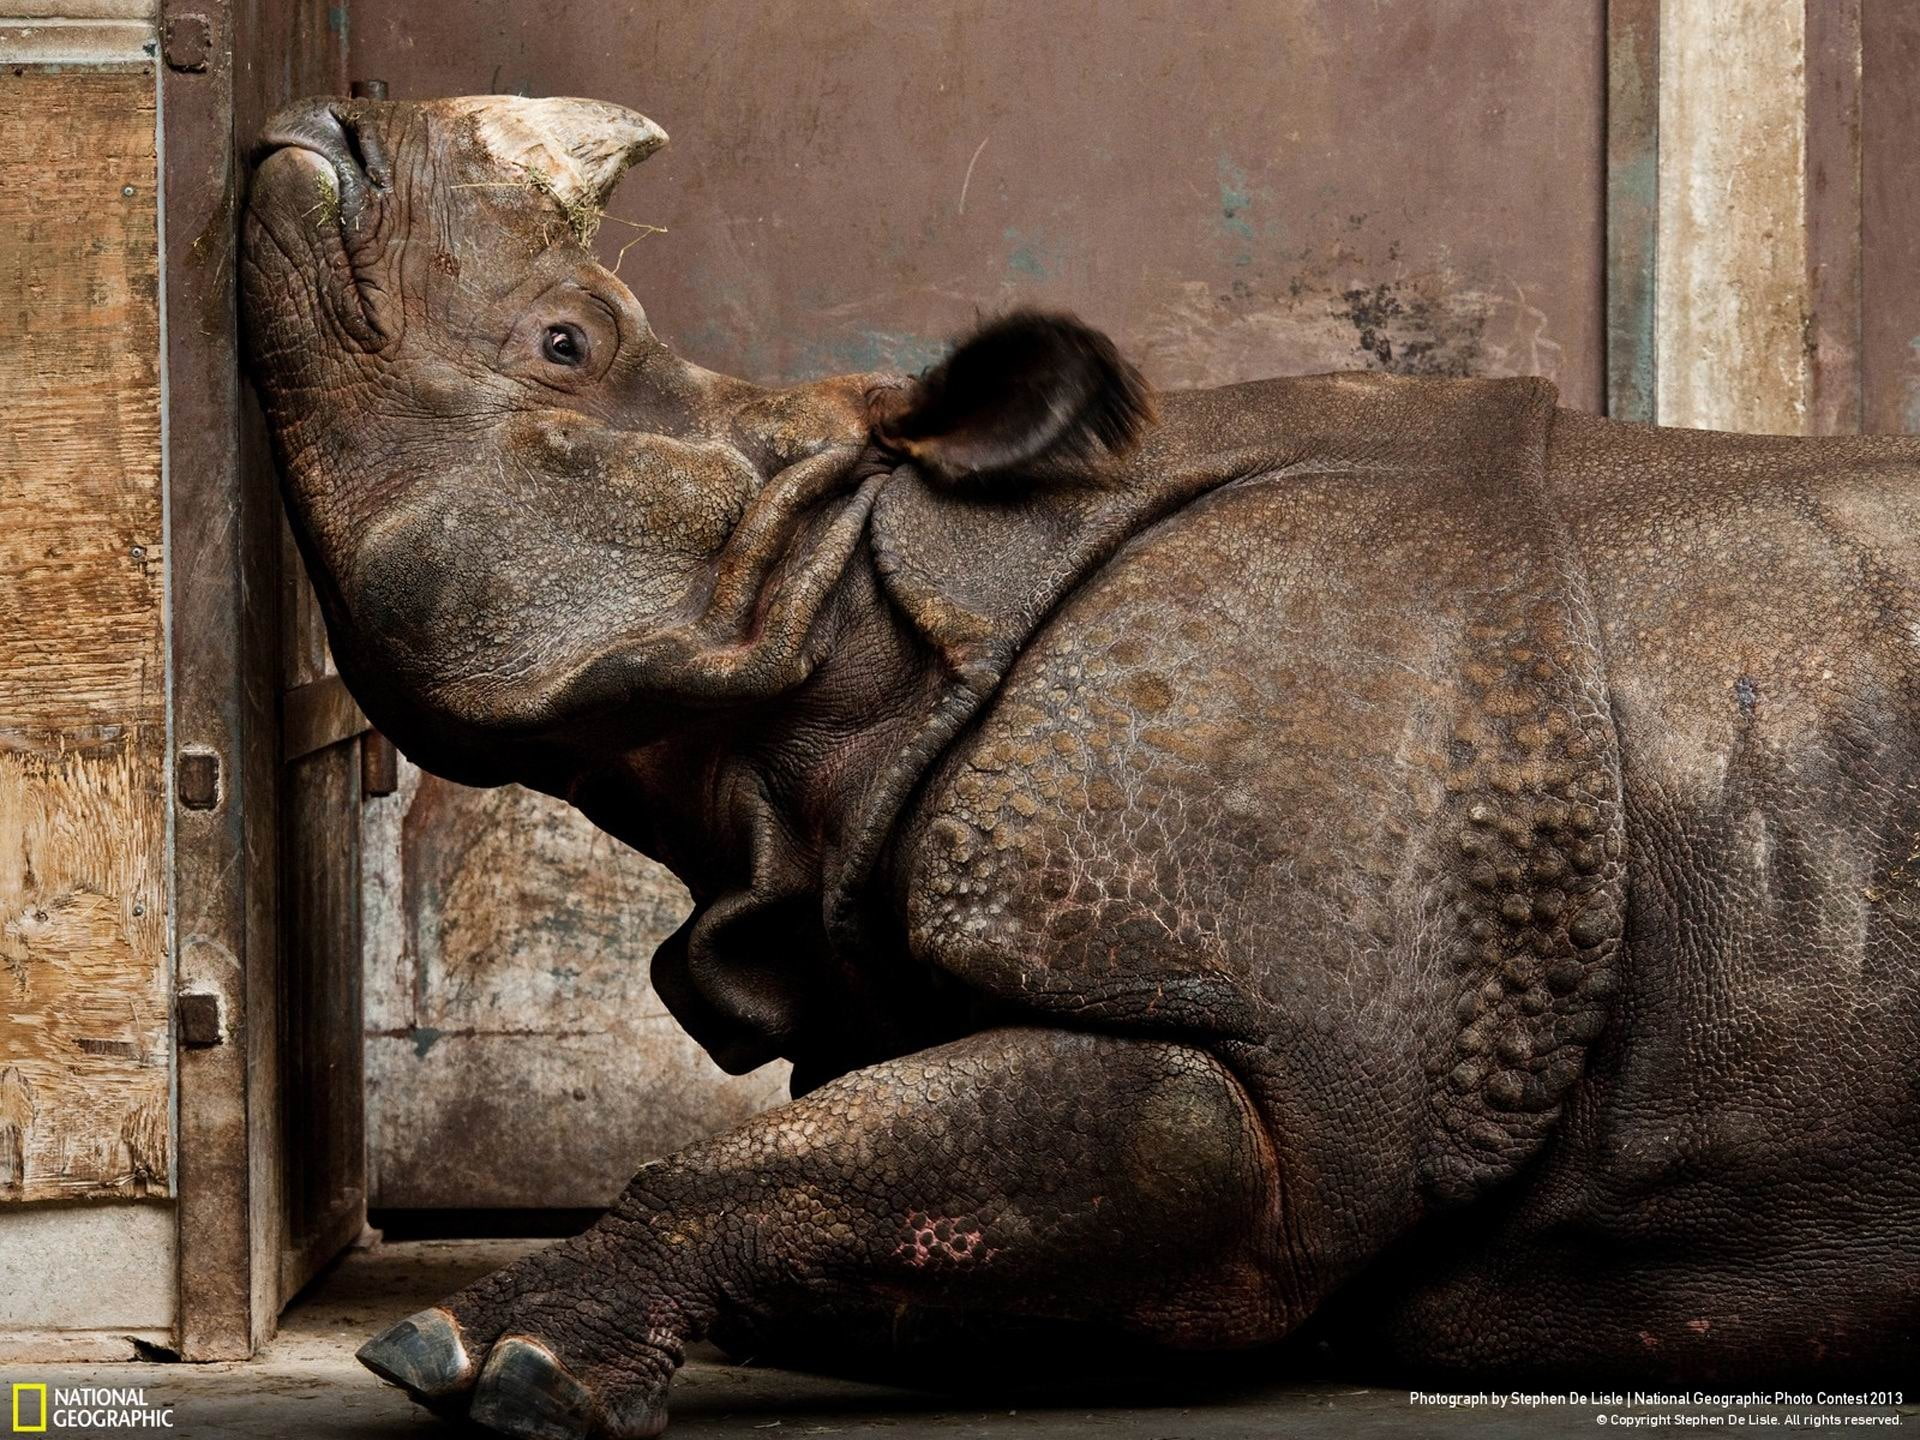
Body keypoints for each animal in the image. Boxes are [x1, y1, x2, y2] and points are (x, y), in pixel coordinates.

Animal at [241, 94, 1919, 1437]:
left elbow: (890, 1162)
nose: (325, 130)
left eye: (566, 343)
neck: (865, 619)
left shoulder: (1268, 1055)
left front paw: (489, 1361)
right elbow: (856, 1190)